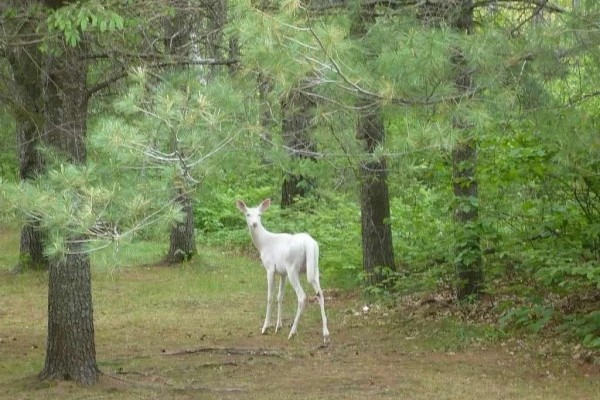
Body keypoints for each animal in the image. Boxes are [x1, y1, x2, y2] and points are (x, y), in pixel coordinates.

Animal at [236, 198, 330, 342]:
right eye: (248, 214)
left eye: (260, 215)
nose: (254, 224)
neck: (263, 244)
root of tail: (309, 244)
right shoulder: (282, 273)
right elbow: (280, 296)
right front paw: (278, 326)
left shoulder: (270, 268)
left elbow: (270, 297)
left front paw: (265, 327)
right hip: (314, 267)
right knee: (320, 293)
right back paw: (325, 333)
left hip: (293, 267)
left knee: (302, 296)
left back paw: (292, 332)